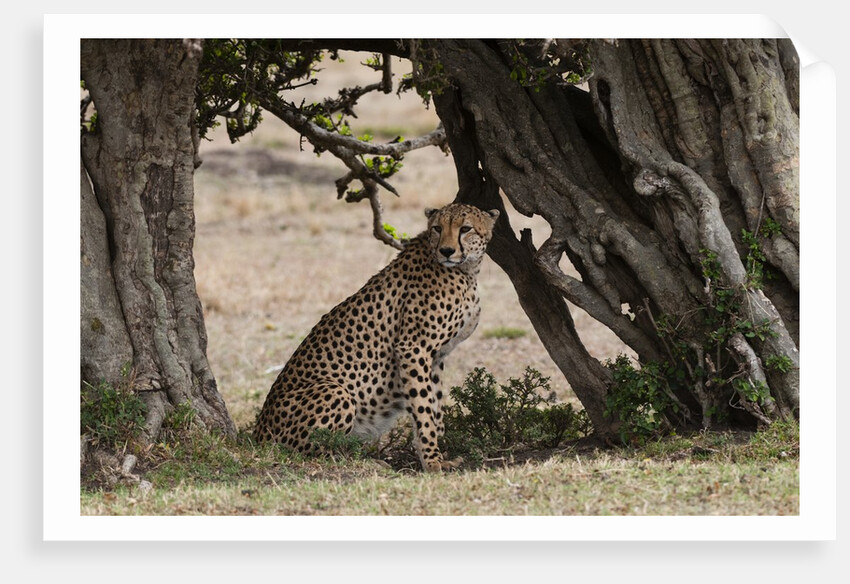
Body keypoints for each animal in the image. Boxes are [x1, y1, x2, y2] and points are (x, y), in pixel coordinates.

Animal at [253, 203, 500, 472]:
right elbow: (424, 409)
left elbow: (434, 406)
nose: (446, 250)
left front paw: (437, 451)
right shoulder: (413, 348)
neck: (466, 270)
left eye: (465, 229)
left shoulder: (436, 356)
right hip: (336, 391)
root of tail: (257, 434)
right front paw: (433, 462)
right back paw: (365, 461)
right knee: (313, 450)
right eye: (437, 228)